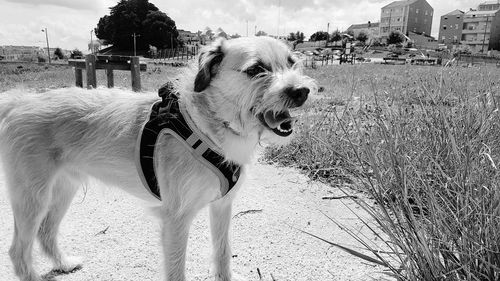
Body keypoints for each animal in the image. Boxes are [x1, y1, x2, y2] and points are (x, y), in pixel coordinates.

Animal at [0, 36, 316, 278]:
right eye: (256, 69)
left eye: (291, 62)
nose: (301, 91)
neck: (206, 124)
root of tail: (20, 100)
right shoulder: (175, 219)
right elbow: (176, 269)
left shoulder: (222, 206)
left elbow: (223, 252)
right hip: (31, 196)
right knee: (18, 250)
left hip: (64, 187)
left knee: (45, 232)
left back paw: (63, 264)